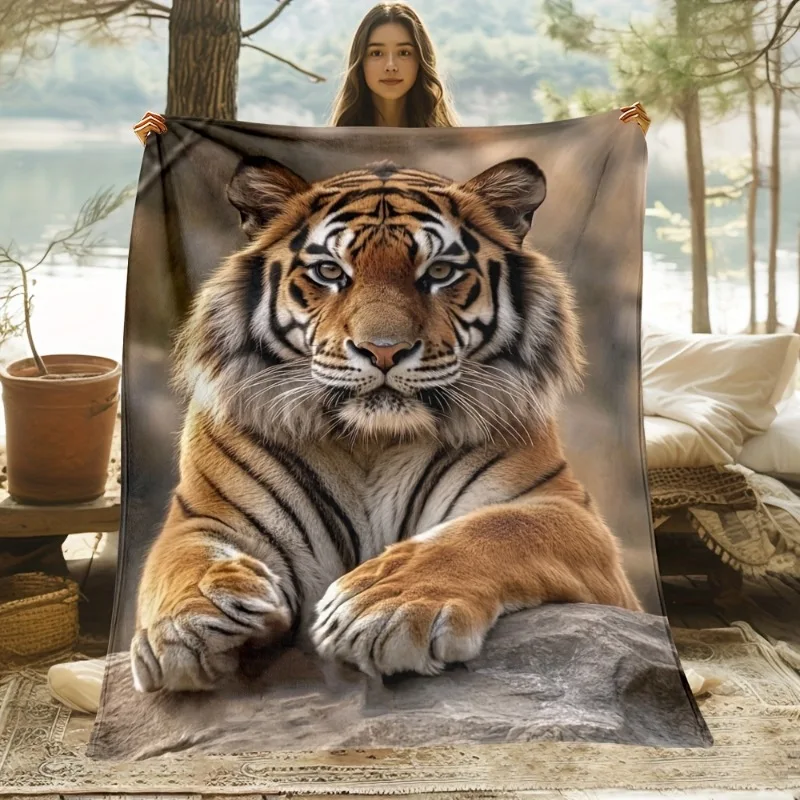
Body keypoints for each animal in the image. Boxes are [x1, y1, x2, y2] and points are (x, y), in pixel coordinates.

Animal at [130, 154, 642, 693]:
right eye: (329, 271)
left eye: (439, 271)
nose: (383, 350)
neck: (372, 442)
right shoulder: (201, 516)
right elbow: (182, 561)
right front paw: (193, 620)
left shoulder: (570, 514)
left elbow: (497, 529)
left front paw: (381, 606)